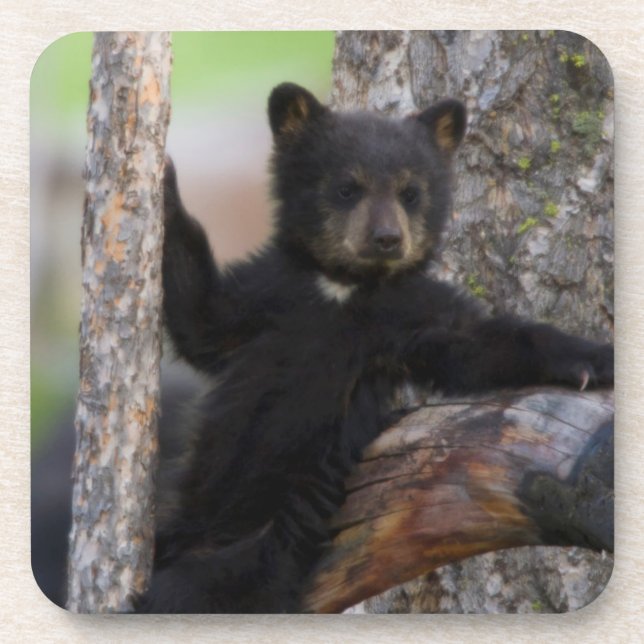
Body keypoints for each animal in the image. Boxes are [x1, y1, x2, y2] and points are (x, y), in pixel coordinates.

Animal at [138, 82, 613, 613]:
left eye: (410, 192)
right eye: (348, 188)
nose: (387, 238)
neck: (345, 287)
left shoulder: (407, 315)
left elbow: (477, 343)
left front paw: (593, 359)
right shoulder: (269, 292)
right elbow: (202, 319)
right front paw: (163, 180)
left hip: (264, 545)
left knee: (195, 588)